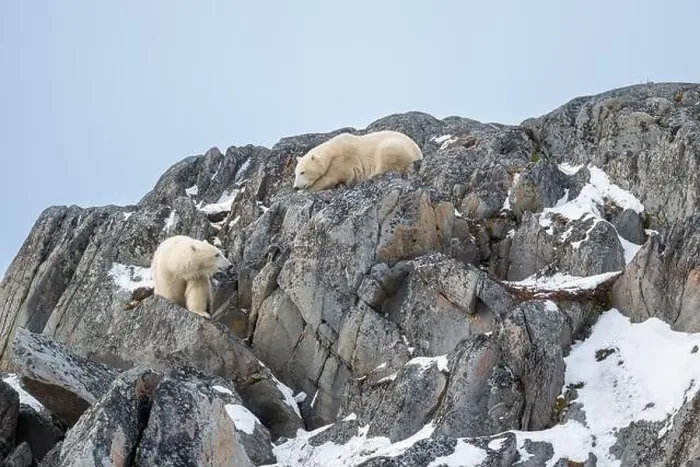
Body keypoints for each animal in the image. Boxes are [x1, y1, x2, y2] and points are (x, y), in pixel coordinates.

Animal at [292, 130, 423, 192]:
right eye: (295, 173)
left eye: (302, 172)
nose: (295, 187)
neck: (331, 150)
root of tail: (419, 153)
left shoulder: (342, 161)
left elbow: (330, 179)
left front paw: (303, 192)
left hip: (395, 147)